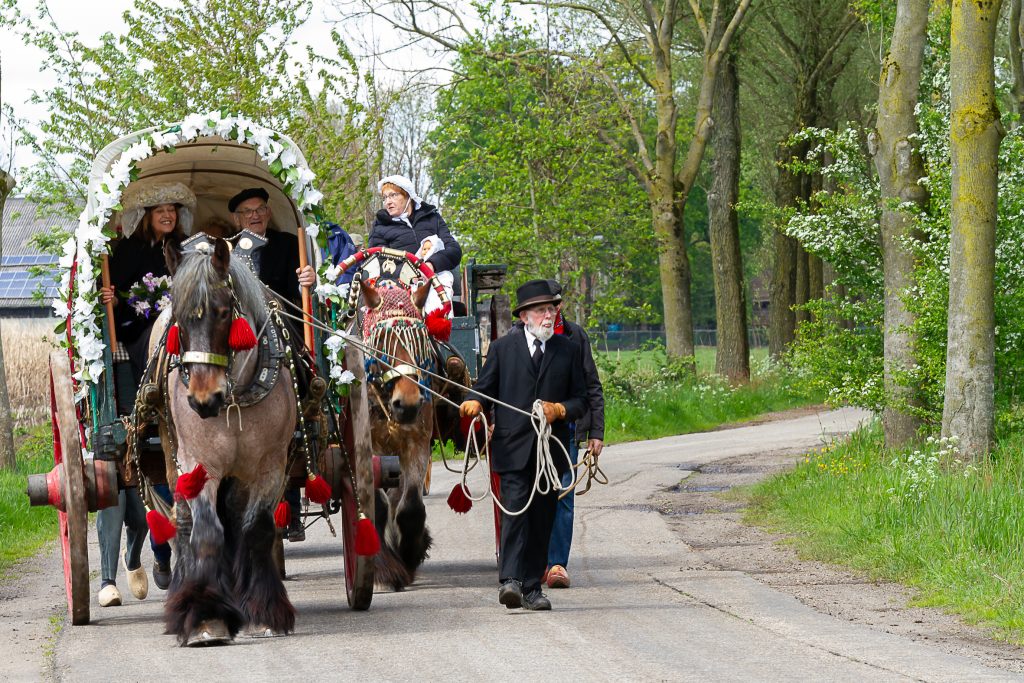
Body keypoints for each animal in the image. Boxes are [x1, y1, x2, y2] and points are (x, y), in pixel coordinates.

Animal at [158, 240, 296, 647]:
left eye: (222, 313)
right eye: (179, 317)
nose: (204, 400)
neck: (235, 398)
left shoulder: (270, 465)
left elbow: (256, 530)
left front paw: (264, 612)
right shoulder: (199, 464)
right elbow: (206, 533)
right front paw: (206, 617)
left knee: (235, 518)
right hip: (172, 457)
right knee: (183, 522)